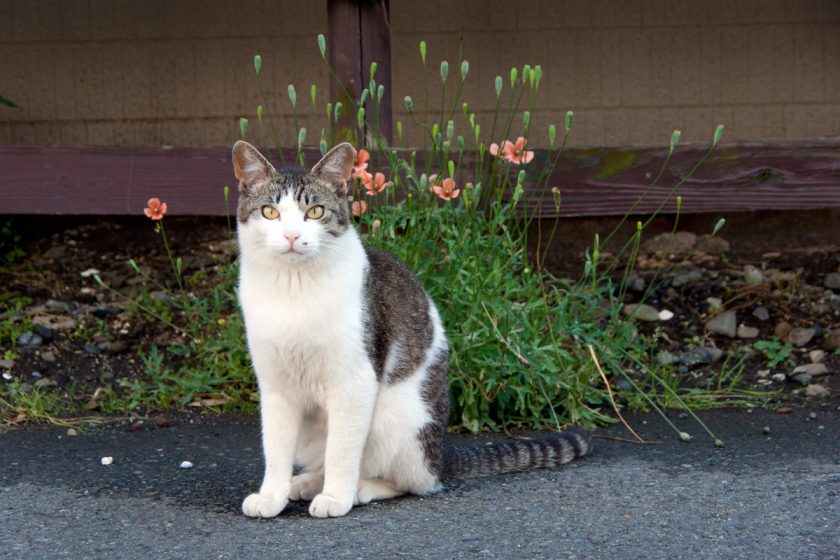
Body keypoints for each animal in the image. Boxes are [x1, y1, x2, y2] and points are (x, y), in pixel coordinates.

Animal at [230, 141, 592, 520]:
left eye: (314, 212)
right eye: (270, 212)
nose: (291, 235)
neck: (294, 288)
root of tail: (440, 456)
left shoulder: (355, 381)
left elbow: (342, 450)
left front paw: (336, 497)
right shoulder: (275, 386)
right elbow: (275, 449)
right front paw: (272, 496)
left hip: (396, 421)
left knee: (411, 482)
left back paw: (358, 488)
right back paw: (307, 482)